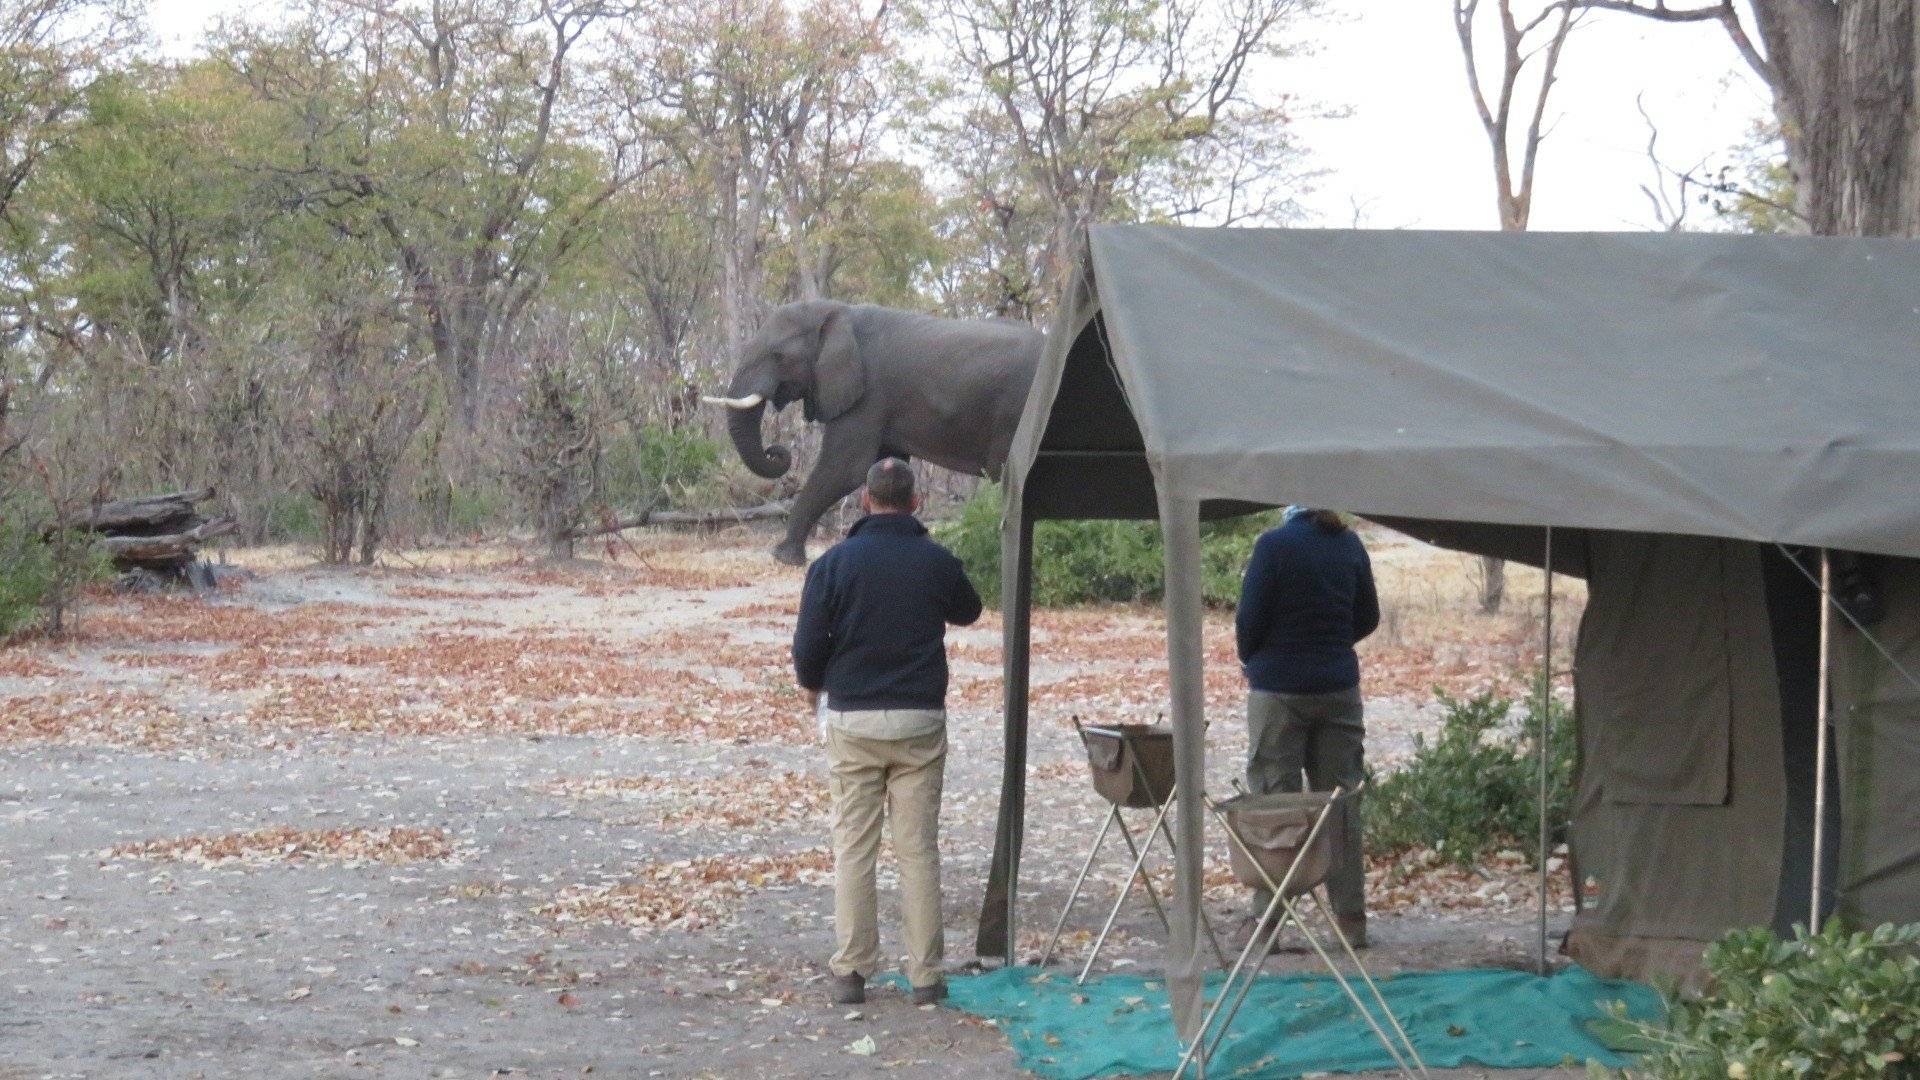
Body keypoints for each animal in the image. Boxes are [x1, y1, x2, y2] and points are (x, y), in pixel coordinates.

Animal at [706, 295, 1044, 564]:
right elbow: (883, 465)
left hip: (1016, 412)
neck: (839, 312)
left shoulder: (867, 394)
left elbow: (845, 468)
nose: (776, 451)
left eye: (778, 356)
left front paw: (783, 557)